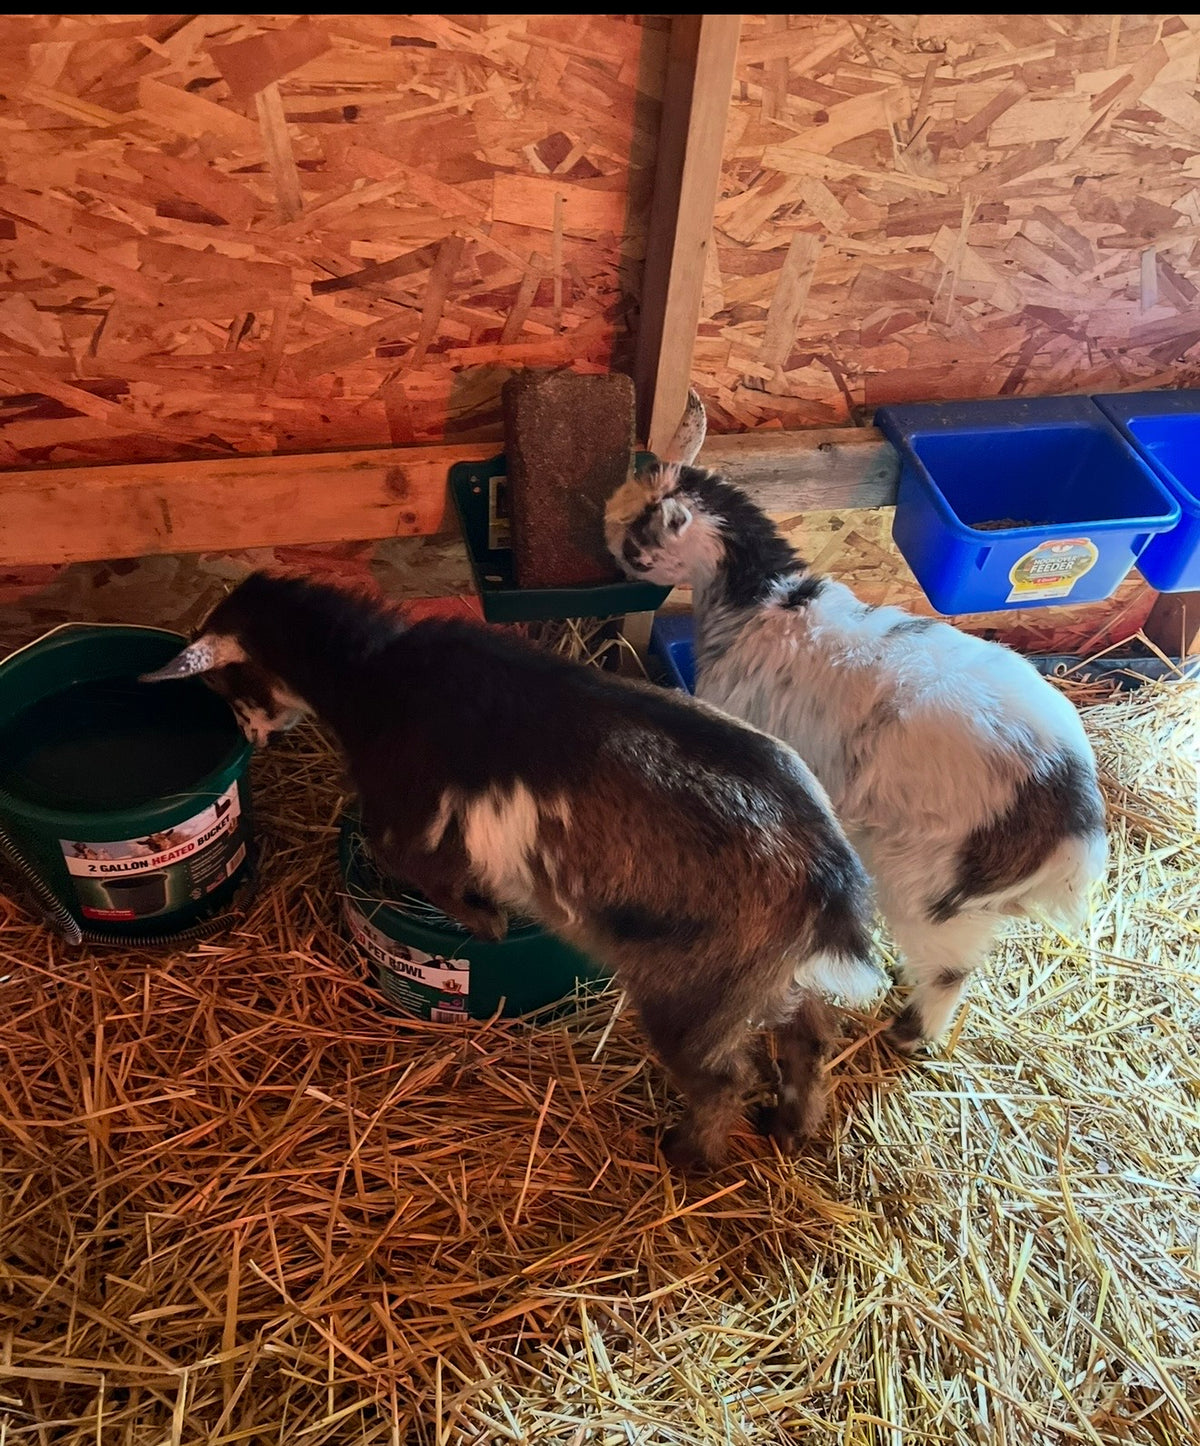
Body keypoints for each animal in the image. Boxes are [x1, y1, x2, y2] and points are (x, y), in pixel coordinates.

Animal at [140, 570, 887, 1172]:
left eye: (220, 683)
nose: (251, 738)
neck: (372, 677)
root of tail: (827, 872)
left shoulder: (409, 818)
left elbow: (420, 868)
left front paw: (487, 922)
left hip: (696, 986)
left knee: (727, 1073)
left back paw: (688, 1156)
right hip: (763, 974)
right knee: (808, 1032)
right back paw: (790, 1125)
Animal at [606, 394, 1108, 1054]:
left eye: (639, 535)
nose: (609, 550)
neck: (764, 605)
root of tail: (1073, 809)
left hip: (929, 878)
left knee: (950, 965)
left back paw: (913, 1033)